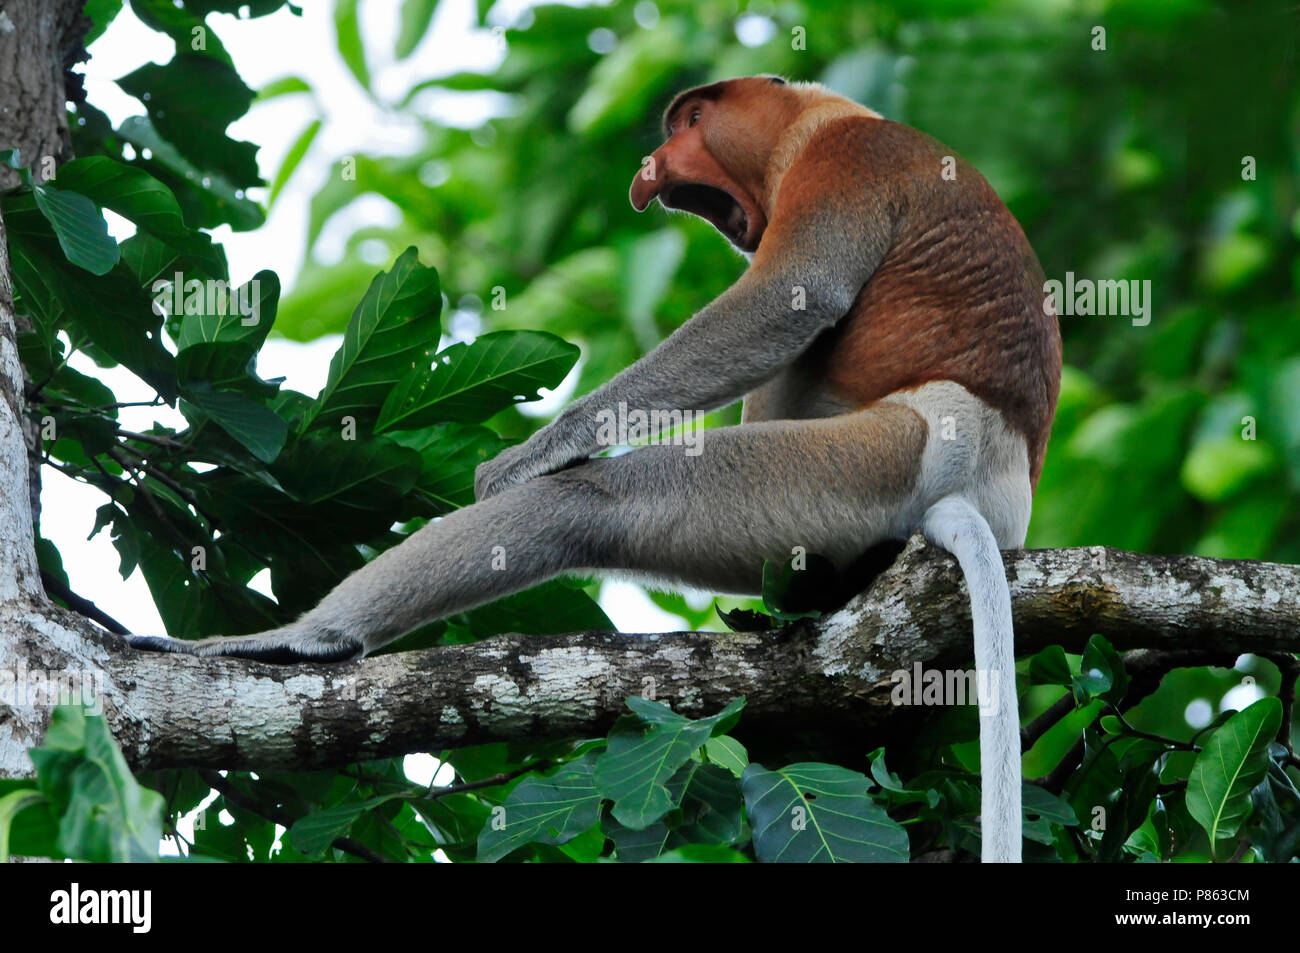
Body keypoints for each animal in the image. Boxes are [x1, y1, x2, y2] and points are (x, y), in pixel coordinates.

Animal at [129, 75, 1062, 863]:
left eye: (692, 118)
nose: (652, 169)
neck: (820, 120)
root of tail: (992, 488)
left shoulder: (845, 165)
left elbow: (793, 296)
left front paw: (533, 453)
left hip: (868, 461)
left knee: (590, 503)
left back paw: (305, 639)